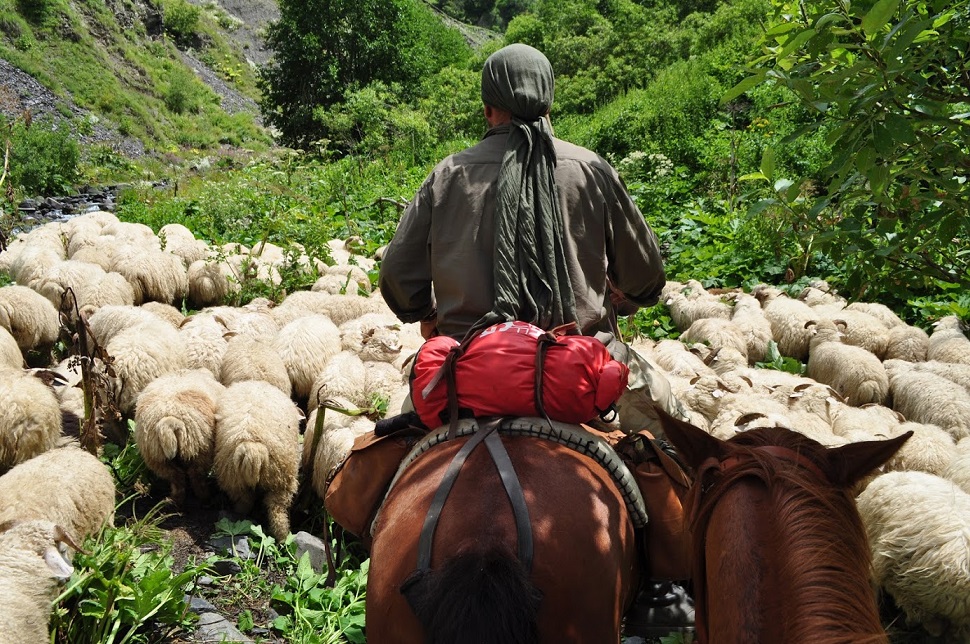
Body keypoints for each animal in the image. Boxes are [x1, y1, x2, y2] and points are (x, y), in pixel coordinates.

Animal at [134, 370, 225, 506]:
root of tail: (168, 423)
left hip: (156, 456)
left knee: (176, 477)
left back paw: (174, 500)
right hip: (198, 449)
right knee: (196, 476)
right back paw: (205, 497)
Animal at [213, 380, 300, 540]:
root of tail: (251, 448)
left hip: (235, 480)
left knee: (244, 502)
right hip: (282, 479)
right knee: (277, 512)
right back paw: (283, 538)